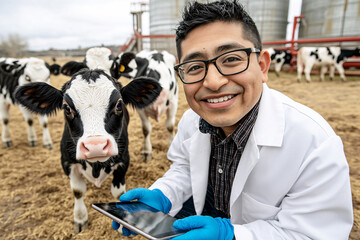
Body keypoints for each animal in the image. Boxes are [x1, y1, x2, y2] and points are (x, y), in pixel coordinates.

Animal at [13, 68, 160, 233]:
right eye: (67, 108)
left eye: (119, 104)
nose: (95, 146)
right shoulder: (67, 162)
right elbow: (78, 191)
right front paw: (80, 219)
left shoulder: (124, 160)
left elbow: (119, 193)